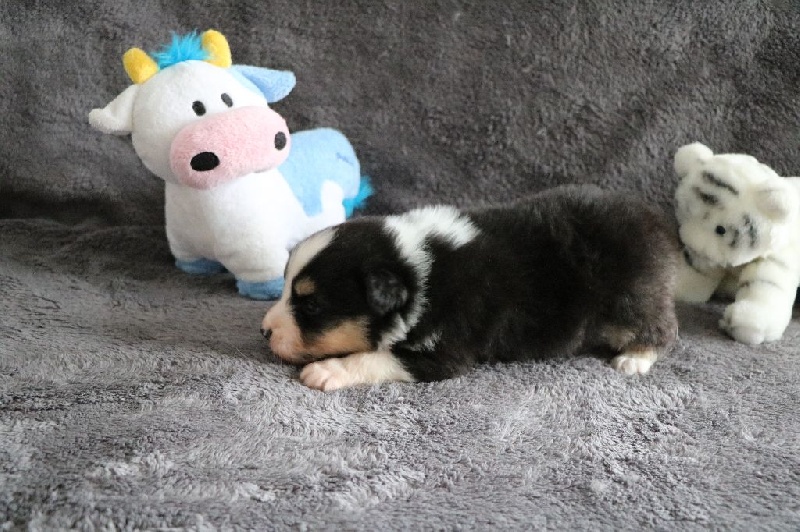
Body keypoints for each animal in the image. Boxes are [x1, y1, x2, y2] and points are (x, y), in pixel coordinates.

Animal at [261, 185, 679, 391]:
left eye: (311, 306)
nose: (263, 331)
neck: (416, 270)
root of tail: (655, 220)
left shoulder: (445, 349)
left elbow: (373, 358)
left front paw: (325, 371)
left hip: (633, 297)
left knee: (662, 326)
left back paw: (635, 358)